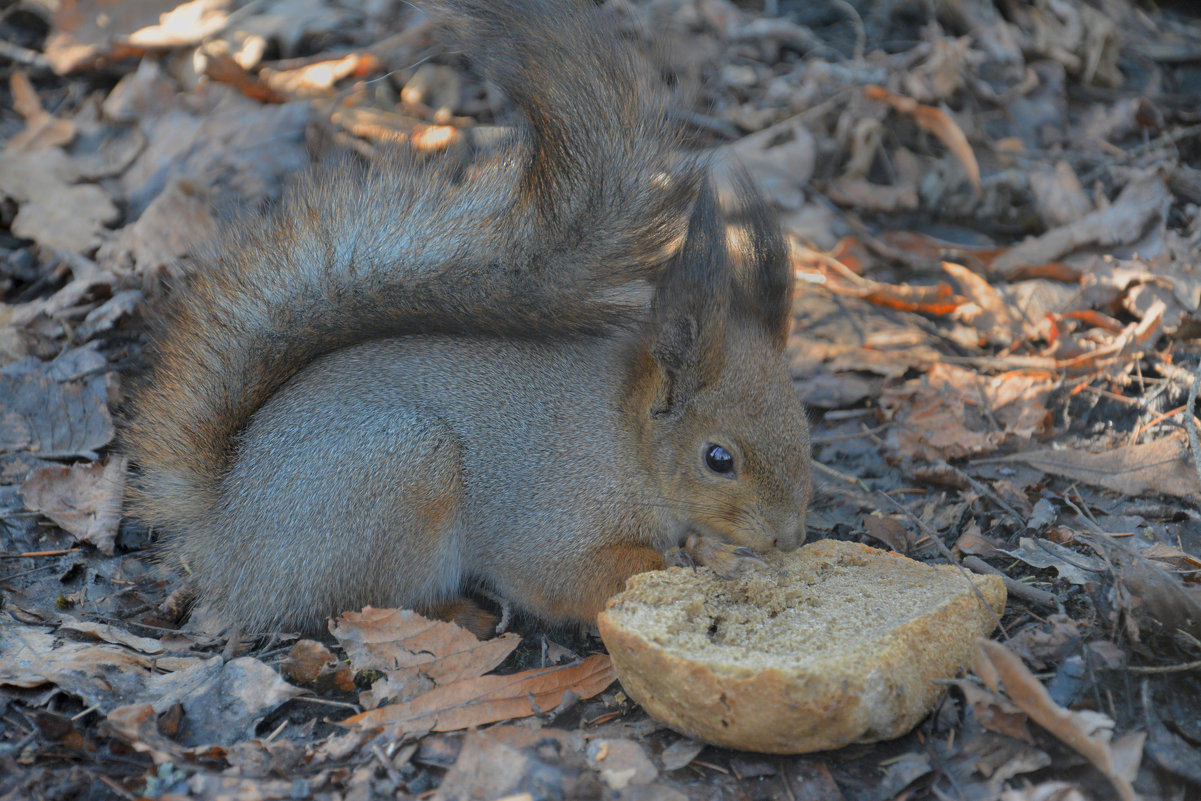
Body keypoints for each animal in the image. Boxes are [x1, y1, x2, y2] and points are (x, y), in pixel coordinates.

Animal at [121, 0, 811, 638]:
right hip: (399, 479)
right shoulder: (553, 520)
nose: (790, 538)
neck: (627, 444)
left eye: (803, 429)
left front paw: (713, 551)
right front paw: (691, 563)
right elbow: (568, 578)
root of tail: (228, 542)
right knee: (357, 603)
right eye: (717, 459)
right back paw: (462, 615)